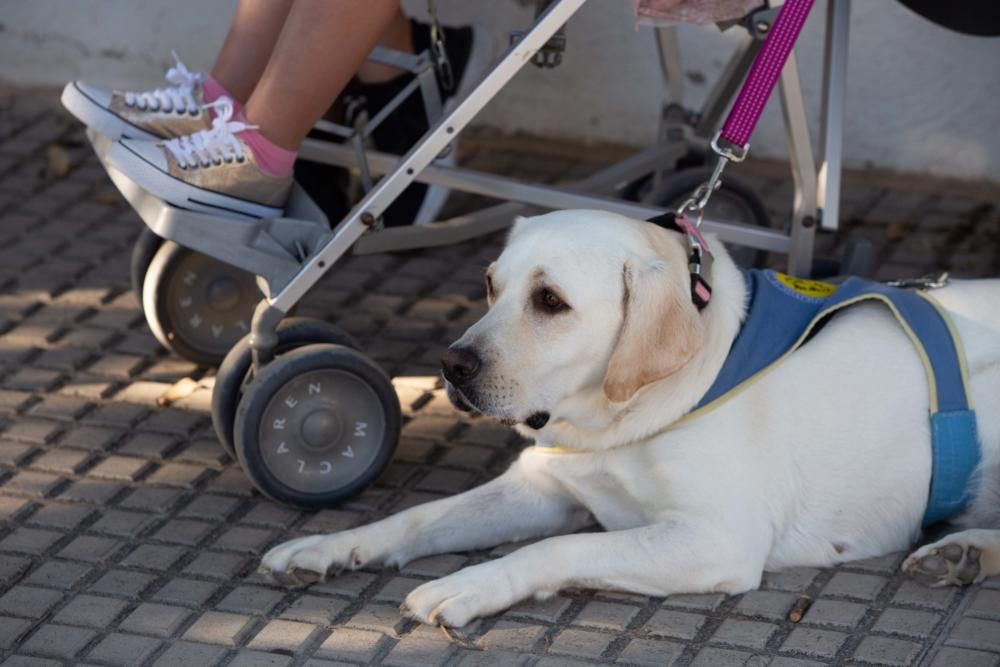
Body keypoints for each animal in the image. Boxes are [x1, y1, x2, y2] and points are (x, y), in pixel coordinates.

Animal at [264, 211, 1000, 628]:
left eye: (551, 301)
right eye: (491, 285)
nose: (451, 363)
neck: (621, 417)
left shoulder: (715, 539)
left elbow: (556, 549)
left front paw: (465, 585)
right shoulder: (544, 487)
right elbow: (416, 517)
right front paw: (329, 546)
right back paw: (962, 555)